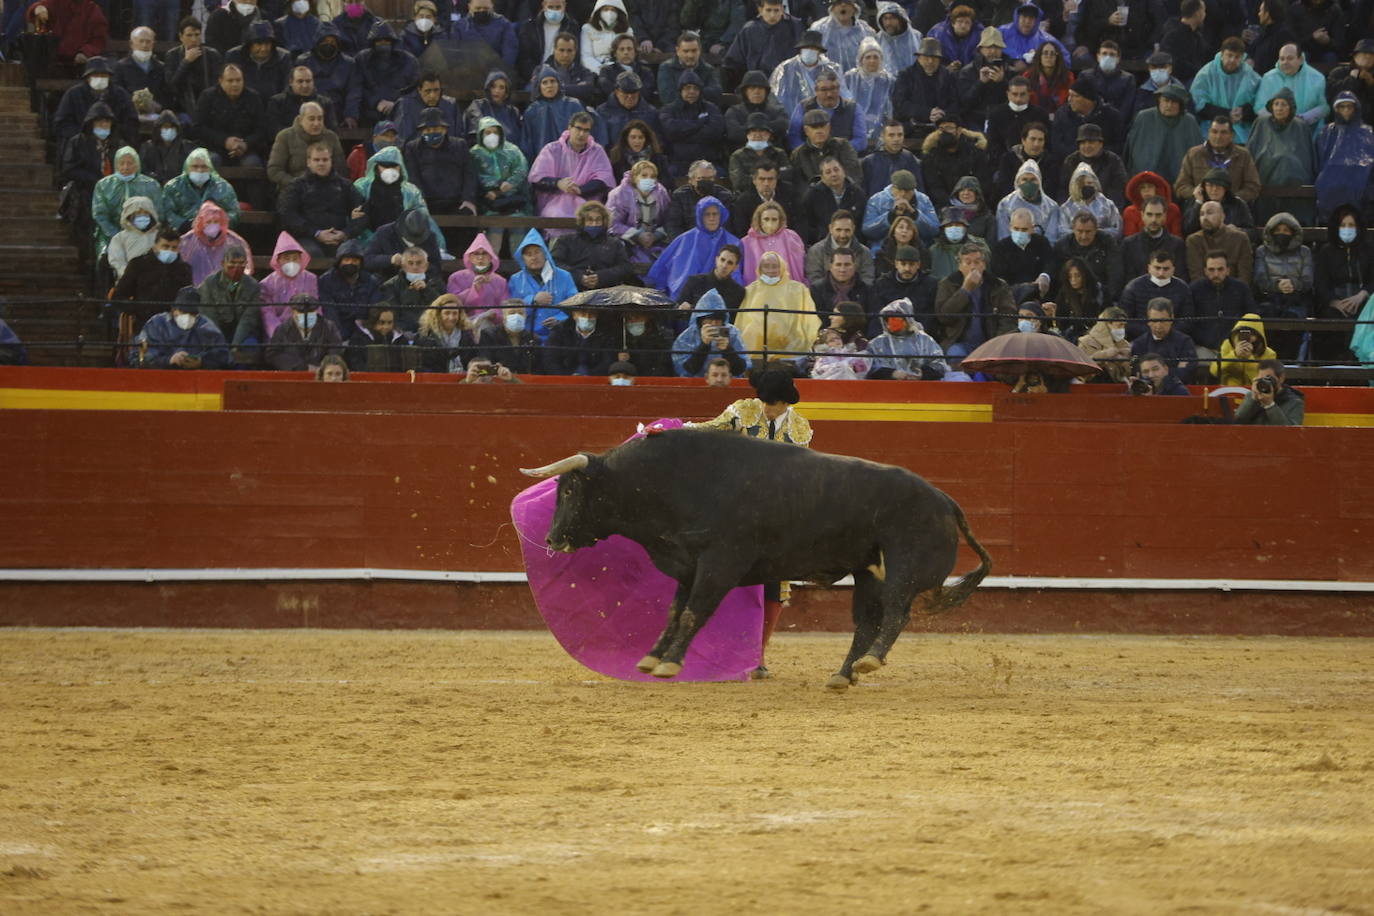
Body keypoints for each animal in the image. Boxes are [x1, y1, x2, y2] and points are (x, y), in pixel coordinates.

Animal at [519, 431, 994, 686]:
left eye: (570, 490)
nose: (552, 538)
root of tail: (945, 500)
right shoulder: (688, 566)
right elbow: (675, 612)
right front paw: (652, 659)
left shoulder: (719, 564)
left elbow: (693, 613)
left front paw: (670, 663)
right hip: (867, 573)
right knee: (867, 622)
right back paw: (843, 674)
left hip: (902, 568)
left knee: (896, 613)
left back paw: (870, 662)